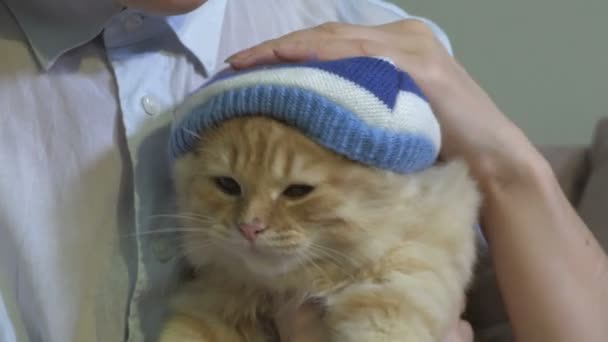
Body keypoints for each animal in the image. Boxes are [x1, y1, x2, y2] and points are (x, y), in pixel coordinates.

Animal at [160, 116, 480, 340]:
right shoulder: (211, 306)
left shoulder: (408, 269)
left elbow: (383, 319)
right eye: (228, 185)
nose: (250, 228)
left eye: (297, 191)